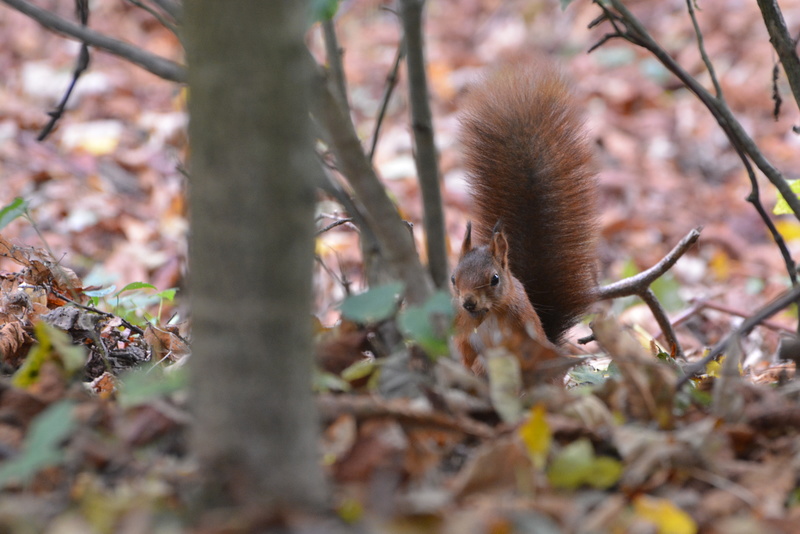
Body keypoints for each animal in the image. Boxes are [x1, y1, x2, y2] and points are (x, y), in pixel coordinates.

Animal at [454, 63, 596, 372]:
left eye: (494, 279)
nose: (468, 303)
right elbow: (465, 354)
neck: (489, 314)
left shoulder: (522, 331)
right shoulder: (462, 332)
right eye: (452, 278)